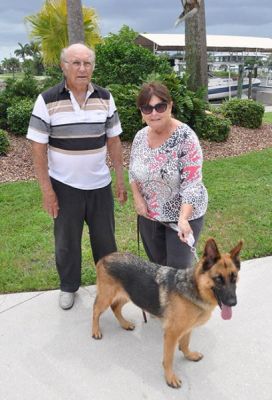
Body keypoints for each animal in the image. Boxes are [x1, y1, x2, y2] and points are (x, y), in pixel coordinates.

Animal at [91, 238, 242, 388]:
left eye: (234, 278)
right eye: (218, 279)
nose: (233, 303)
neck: (194, 288)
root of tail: (105, 257)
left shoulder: (187, 328)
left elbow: (185, 344)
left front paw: (189, 355)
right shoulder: (171, 334)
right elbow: (168, 359)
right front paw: (170, 377)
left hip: (129, 295)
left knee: (115, 307)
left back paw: (124, 324)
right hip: (107, 297)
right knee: (96, 310)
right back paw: (95, 331)